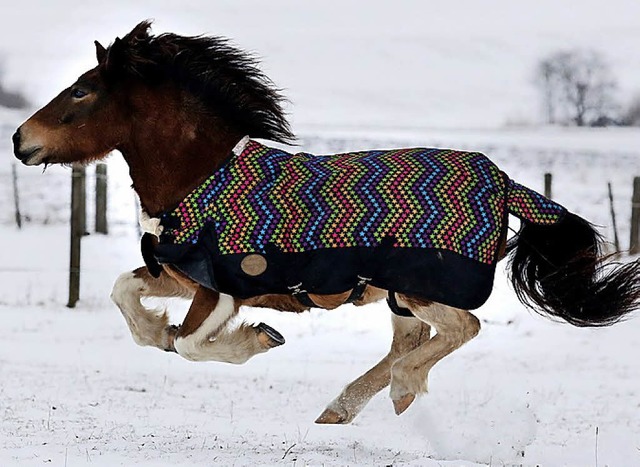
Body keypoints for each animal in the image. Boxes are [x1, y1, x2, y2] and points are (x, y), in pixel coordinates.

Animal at [11, 22, 640, 424]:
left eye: (81, 91)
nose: (20, 139)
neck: (200, 179)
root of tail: (504, 181)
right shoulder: (181, 276)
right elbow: (126, 295)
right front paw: (156, 329)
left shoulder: (220, 290)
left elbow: (191, 345)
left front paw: (255, 339)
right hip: (399, 295)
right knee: (412, 341)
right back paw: (349, 408)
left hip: (424, 287)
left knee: (461, 329)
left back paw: (401, 388)